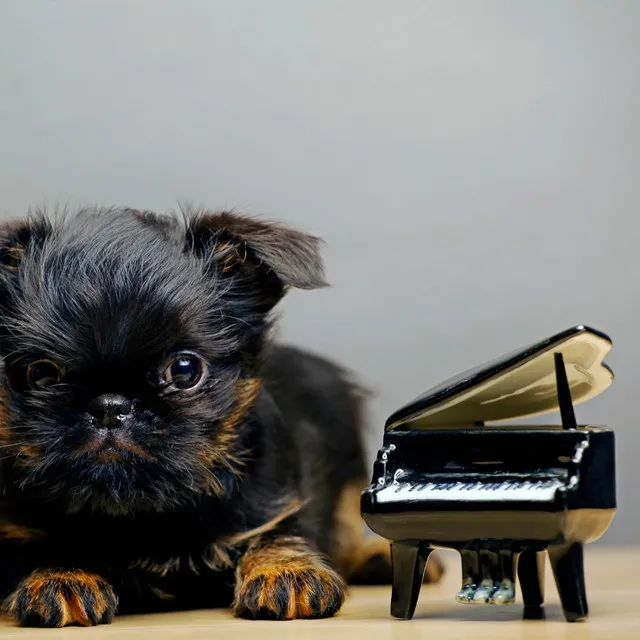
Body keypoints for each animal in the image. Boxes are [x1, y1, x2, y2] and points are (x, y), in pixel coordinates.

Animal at [0, 208, 440, 628]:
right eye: (41, 375)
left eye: (184, 371)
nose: (110, 405)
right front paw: (60, 575)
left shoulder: (280, 498)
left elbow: (279, 531)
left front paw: (285, 570)